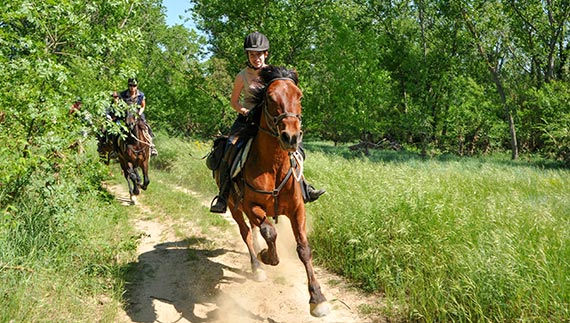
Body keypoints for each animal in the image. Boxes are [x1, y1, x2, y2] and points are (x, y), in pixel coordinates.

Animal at [212, 65, 328, 316]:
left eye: (299, 96)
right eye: (269, 98)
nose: (291, 137)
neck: (273, 165)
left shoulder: (297, 209)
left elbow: (303, 248)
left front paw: (317, 298)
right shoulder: (251, 206)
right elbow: (269, 232)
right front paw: (267, 256)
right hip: (235, 207)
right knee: (246, 233)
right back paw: (257, 266)